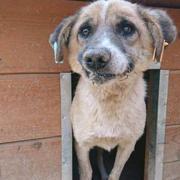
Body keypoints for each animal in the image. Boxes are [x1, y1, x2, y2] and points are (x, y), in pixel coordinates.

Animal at [48, 0, 176, 179]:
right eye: (85, 31)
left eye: (127, 28)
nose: (95, 58)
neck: (109, 98)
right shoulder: (82, 145)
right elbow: (87, 171)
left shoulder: (127, 145)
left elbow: (115, 173)